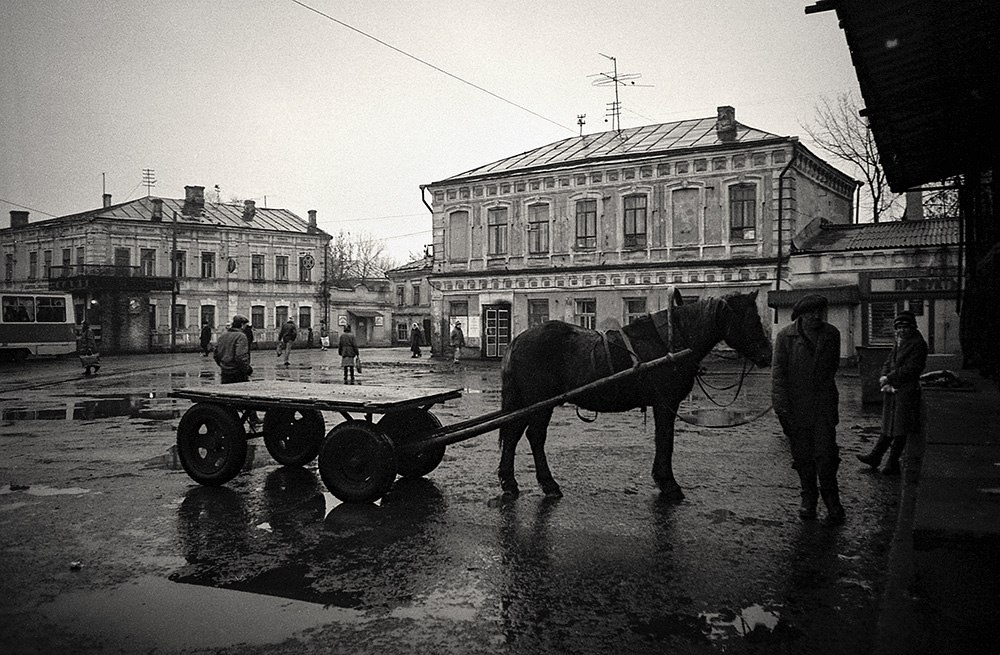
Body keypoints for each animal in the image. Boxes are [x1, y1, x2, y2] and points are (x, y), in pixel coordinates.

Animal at [498, 292, 772, 502]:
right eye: (751, 319)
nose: (767, 356)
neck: (672, 341)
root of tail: (517, 340)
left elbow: (663, 440)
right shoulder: (665, 403)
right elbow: (665, 440)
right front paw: (668, 484)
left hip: (526, 402)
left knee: (513, 435)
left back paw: (510, 483)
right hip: (538, 403)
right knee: (534, 436)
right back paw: (547, 484)